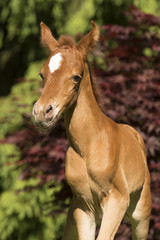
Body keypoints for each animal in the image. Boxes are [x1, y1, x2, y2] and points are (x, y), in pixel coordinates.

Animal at [32, 21, 151, 239]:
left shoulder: (117, 200)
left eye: (76, 77)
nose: (42, 112)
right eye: (42, 74)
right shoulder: (84, 207)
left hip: (141, 213)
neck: (88, 146)